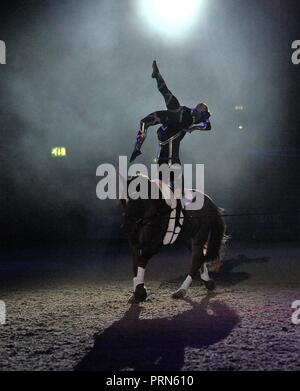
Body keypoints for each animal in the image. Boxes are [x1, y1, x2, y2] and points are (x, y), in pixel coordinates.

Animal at [120, 175, 226, 306]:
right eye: (122, 200)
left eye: (136, 198)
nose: (125, 228)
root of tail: (209, 201)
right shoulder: (135, 245)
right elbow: (135, 265)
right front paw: (137, 293)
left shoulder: (153, 246)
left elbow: (141, 261)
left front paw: (140, 293)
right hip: (188, 238)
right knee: (201, 258)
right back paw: (207, 282)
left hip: (199, 236)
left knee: (197, 260)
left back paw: (181, 291)